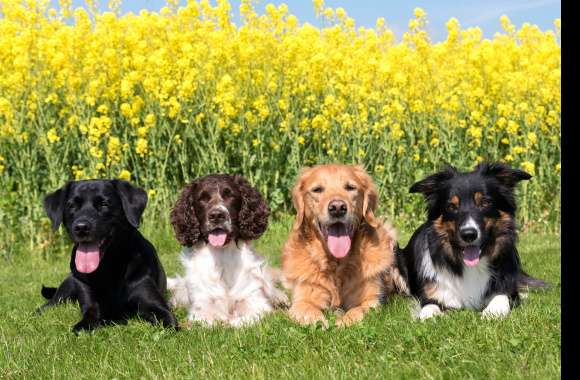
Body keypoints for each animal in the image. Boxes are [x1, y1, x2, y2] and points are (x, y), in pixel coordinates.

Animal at [37, 180, 177, 332]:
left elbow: (169, 321)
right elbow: (85, 321)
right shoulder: (90, 303)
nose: (81, 227)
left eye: (104, 204)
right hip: (66, 288)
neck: (109, 267)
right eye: (71, 205)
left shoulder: (154, 303)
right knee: (48, 305)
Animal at [396, 163, 548, 320]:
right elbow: (428, 308)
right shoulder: (431, 294)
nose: (468, 234)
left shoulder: (507, 286)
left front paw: (492, 311)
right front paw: (431, 315)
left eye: (485, 202)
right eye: (451, 206)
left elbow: (502, 296)